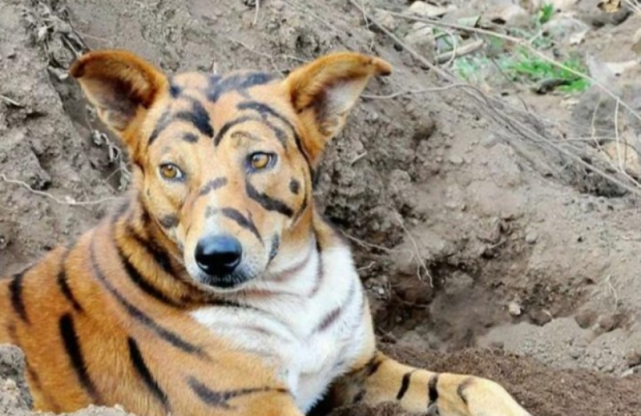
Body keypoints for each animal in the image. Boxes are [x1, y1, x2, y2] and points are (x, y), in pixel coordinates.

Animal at [0, 49, 532, 416]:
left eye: (259, 159)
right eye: (171, 170)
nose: (216, 256)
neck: (293, 290)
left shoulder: (357, 369)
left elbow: (472, 383)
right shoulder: (253, 403)